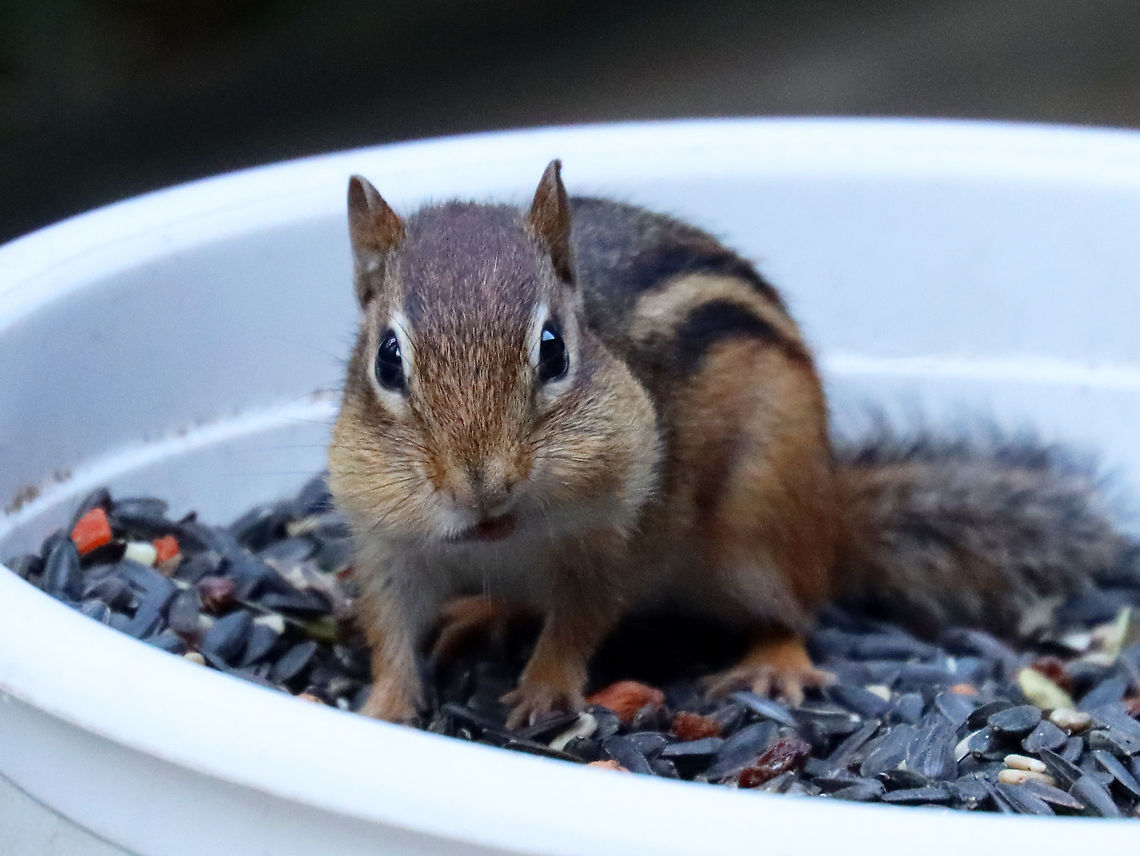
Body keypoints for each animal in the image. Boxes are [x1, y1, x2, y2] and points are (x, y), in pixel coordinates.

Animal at [328, 160, 1134, 728]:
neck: (506, 539)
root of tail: (832, 515)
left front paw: (545, 687)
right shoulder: (388, 542)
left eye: (553, 350)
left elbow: (582, 619)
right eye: (387, 360)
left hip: (760, 529)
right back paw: (484, 612)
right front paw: (386, 705)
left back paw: (774, 665)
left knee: (792, 613)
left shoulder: (618, 536)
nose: (484, 489)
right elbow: (388, 625)